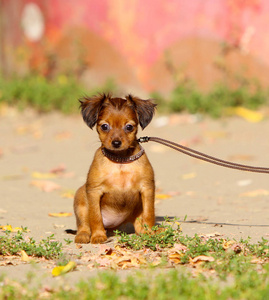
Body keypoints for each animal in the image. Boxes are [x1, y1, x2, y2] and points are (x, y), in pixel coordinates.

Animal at [74, 93, 157, 244]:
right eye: (104, 126)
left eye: (129, 127)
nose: (116, 143)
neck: (120, 162)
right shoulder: (94, 192)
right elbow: (95, 217)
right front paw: (98, 236)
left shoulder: (147, 189)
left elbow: (149, 214)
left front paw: (149, 233)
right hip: (80, 198)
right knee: (84, 224)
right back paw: (83, 235)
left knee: (139, 224)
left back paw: (147, 231)